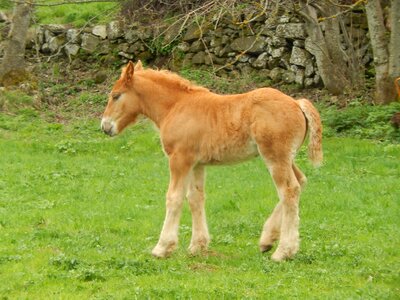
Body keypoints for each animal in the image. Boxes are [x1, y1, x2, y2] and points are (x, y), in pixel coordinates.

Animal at [101, 60, 322, 260]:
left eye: (116, 95)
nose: (104, 126)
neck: (175, 106)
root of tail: (297, 104)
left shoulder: (179, 159)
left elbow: (174, 198)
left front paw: (162, 247)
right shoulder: (196, 164)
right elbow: (195, 198)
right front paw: (197, 246)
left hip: (275, 157)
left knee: (288, 190)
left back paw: (283, 251)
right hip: (285, 158)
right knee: (300, 182)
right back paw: (267, 240)